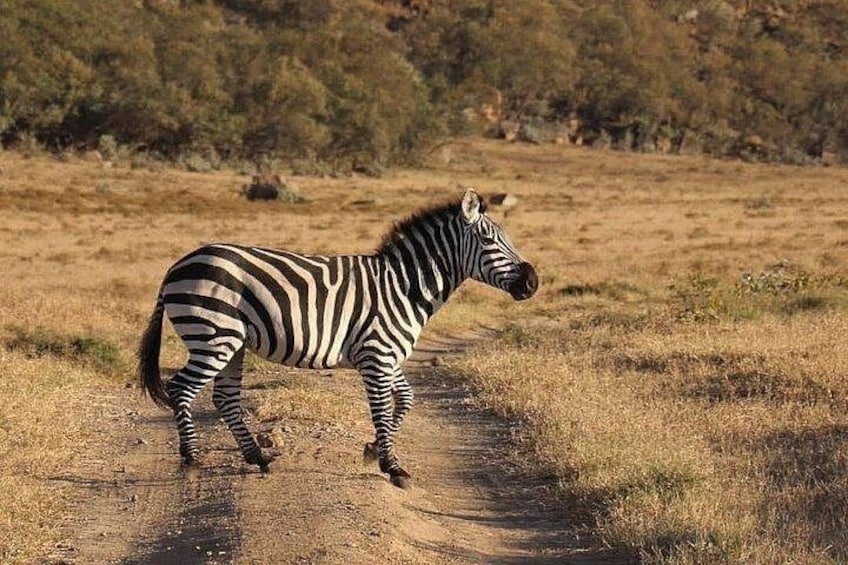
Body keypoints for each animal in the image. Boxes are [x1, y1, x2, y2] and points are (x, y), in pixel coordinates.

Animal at [138, 188, 538, 487]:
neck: (403, 287)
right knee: (181, 389)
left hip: (231, 343)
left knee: (225, 398)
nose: (533, 283)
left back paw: (257, 456)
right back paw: (191, 460)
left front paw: (373, 450)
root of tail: (177, 265)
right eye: (488, 240)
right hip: (213, 335)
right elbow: (381, 408)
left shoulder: (388, 355)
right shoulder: (377, 356)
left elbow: (405, 399)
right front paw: (392, 467)